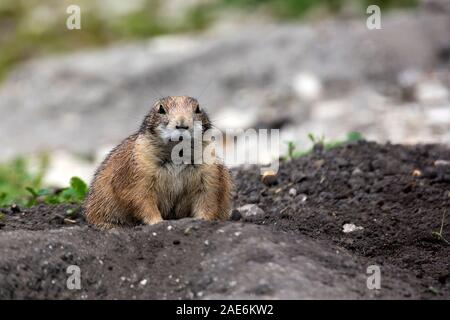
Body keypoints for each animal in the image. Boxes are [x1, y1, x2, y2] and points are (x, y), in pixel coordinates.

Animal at [84, 96, 232, 229]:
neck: (177, 153)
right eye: (161, 109)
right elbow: (141, 199)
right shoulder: (139, 172)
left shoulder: (209, 173)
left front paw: (202, 220)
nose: (182, 124)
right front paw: (158, 222)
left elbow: (209, 197)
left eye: (197, 109)